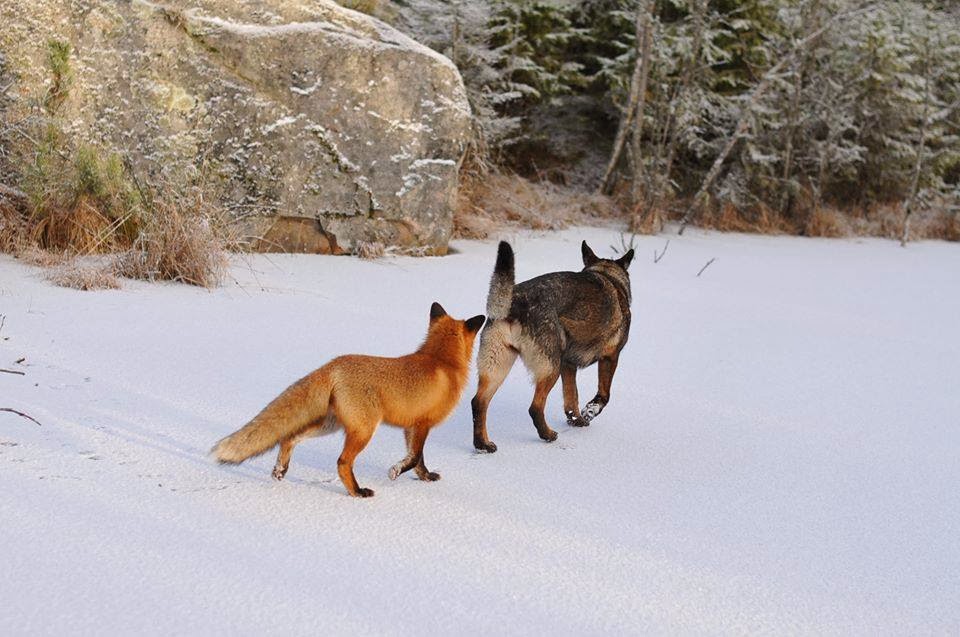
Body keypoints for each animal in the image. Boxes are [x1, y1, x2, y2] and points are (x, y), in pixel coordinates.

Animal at [212, 302, 485, 497]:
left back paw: (280, 470)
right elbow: (414, 457)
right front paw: (395, 471)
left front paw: (425, 477)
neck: (441, 360)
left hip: (330, 425)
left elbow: (417, 460)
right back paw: (356, 492)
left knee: (289, 438)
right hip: (363, 430)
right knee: (342, 462)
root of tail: (334, 364)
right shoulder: (422, 424)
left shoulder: (410, 426)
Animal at [471, 240, 633, 451]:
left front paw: (577, 420)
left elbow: (571, 398)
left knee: (478, 403)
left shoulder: (568, 365)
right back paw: (547, 435)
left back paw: (482, 444)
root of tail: (515, 304)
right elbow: (604, 395)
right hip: (550, 368)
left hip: (497, 367)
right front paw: (590, 411)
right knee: (535, 407)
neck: (607, 275)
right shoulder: (610, 357)